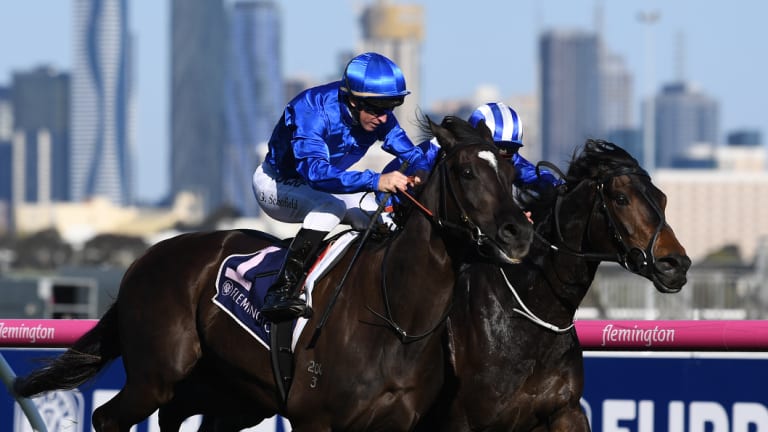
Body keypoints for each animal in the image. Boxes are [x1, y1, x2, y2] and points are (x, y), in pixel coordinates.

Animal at [15, 115, 536, 432]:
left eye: (513, 174)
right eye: (467, 172)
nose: (518, 233)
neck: (395, 317)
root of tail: (143, 260)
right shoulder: (314, 418)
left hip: (226, 393)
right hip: (156, 373)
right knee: (108, 417)